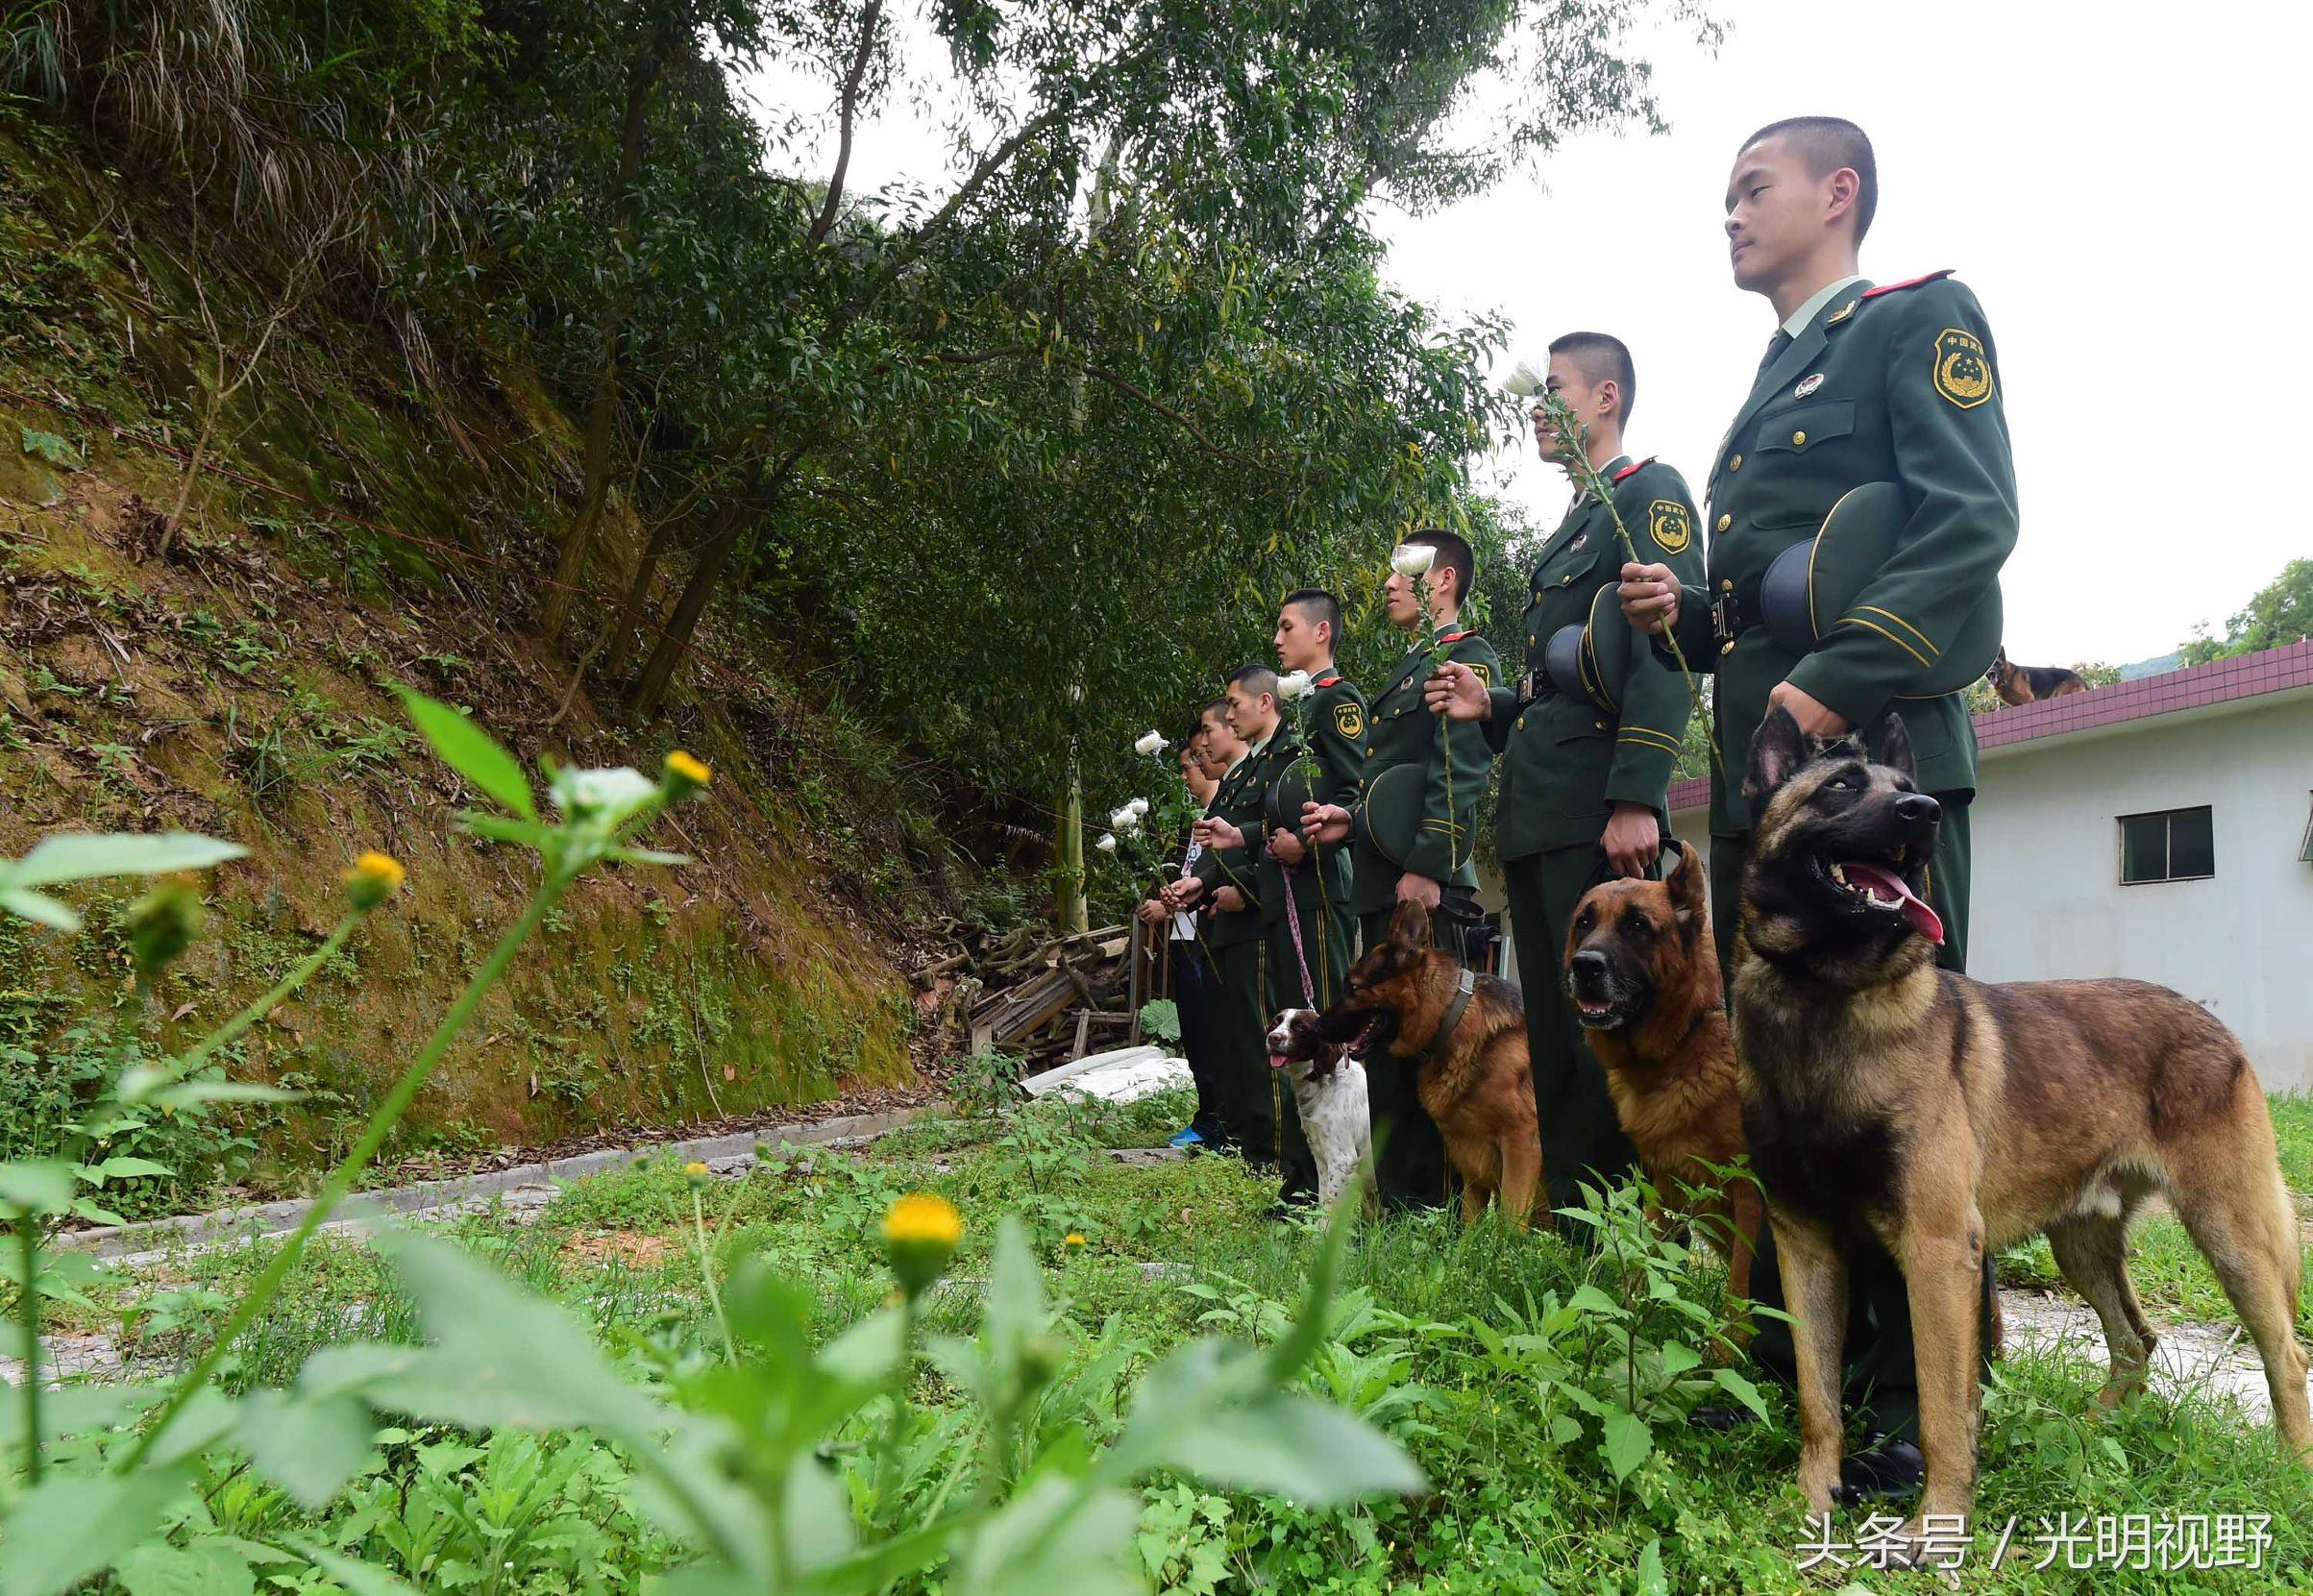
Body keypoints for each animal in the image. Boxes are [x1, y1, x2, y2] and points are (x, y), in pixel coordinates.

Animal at [1332, 901, 1544, 1221]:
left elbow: (1508, 1220)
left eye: (1353, 988)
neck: (1450, 1018)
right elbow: (1470, 1222)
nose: (1316, 1026)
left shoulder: (1521, 1145)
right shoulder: (1471, 1159)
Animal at [1563, 837, 1758, 1314]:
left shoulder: (1751, 1196)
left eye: (1637, 925)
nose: (1584, 966)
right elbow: (1642, 1260)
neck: (1683, 1043)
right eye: (1584, 922)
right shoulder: (1665, 1187)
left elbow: (1739, 1292)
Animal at [1739, 707, 2303, 1545]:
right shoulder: (1802, 1241)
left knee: (2286, 1357)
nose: (1924, 813)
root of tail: (2208, 1017)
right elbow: (1816, 1394)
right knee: (2134, 1341)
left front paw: (1937, 1526)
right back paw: (2088, 1435)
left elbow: (1942, 1406)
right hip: (2081, 1242)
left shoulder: (1938, 1250)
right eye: (1840, 785)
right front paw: (1813, 1498)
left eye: (1905, 786)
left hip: (2228, 1232)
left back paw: (2291, 1475)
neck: (1826, 994)